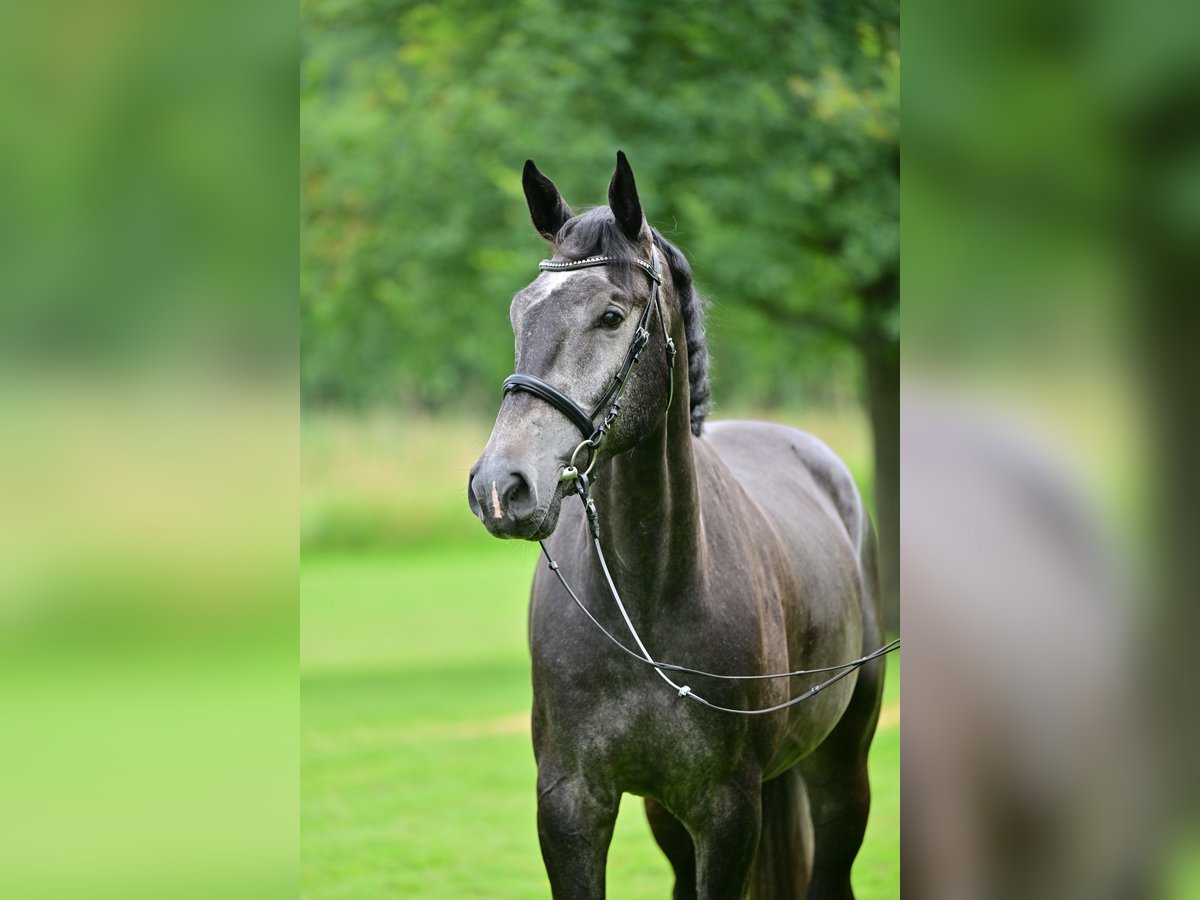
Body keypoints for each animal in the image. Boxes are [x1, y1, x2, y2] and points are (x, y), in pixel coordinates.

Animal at [468, 151, 892, 897]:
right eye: (521, 311)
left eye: (611, 316)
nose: (501, 487)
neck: (645, 600)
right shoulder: (571, 805)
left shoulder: (728, 812)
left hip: (842, 771)